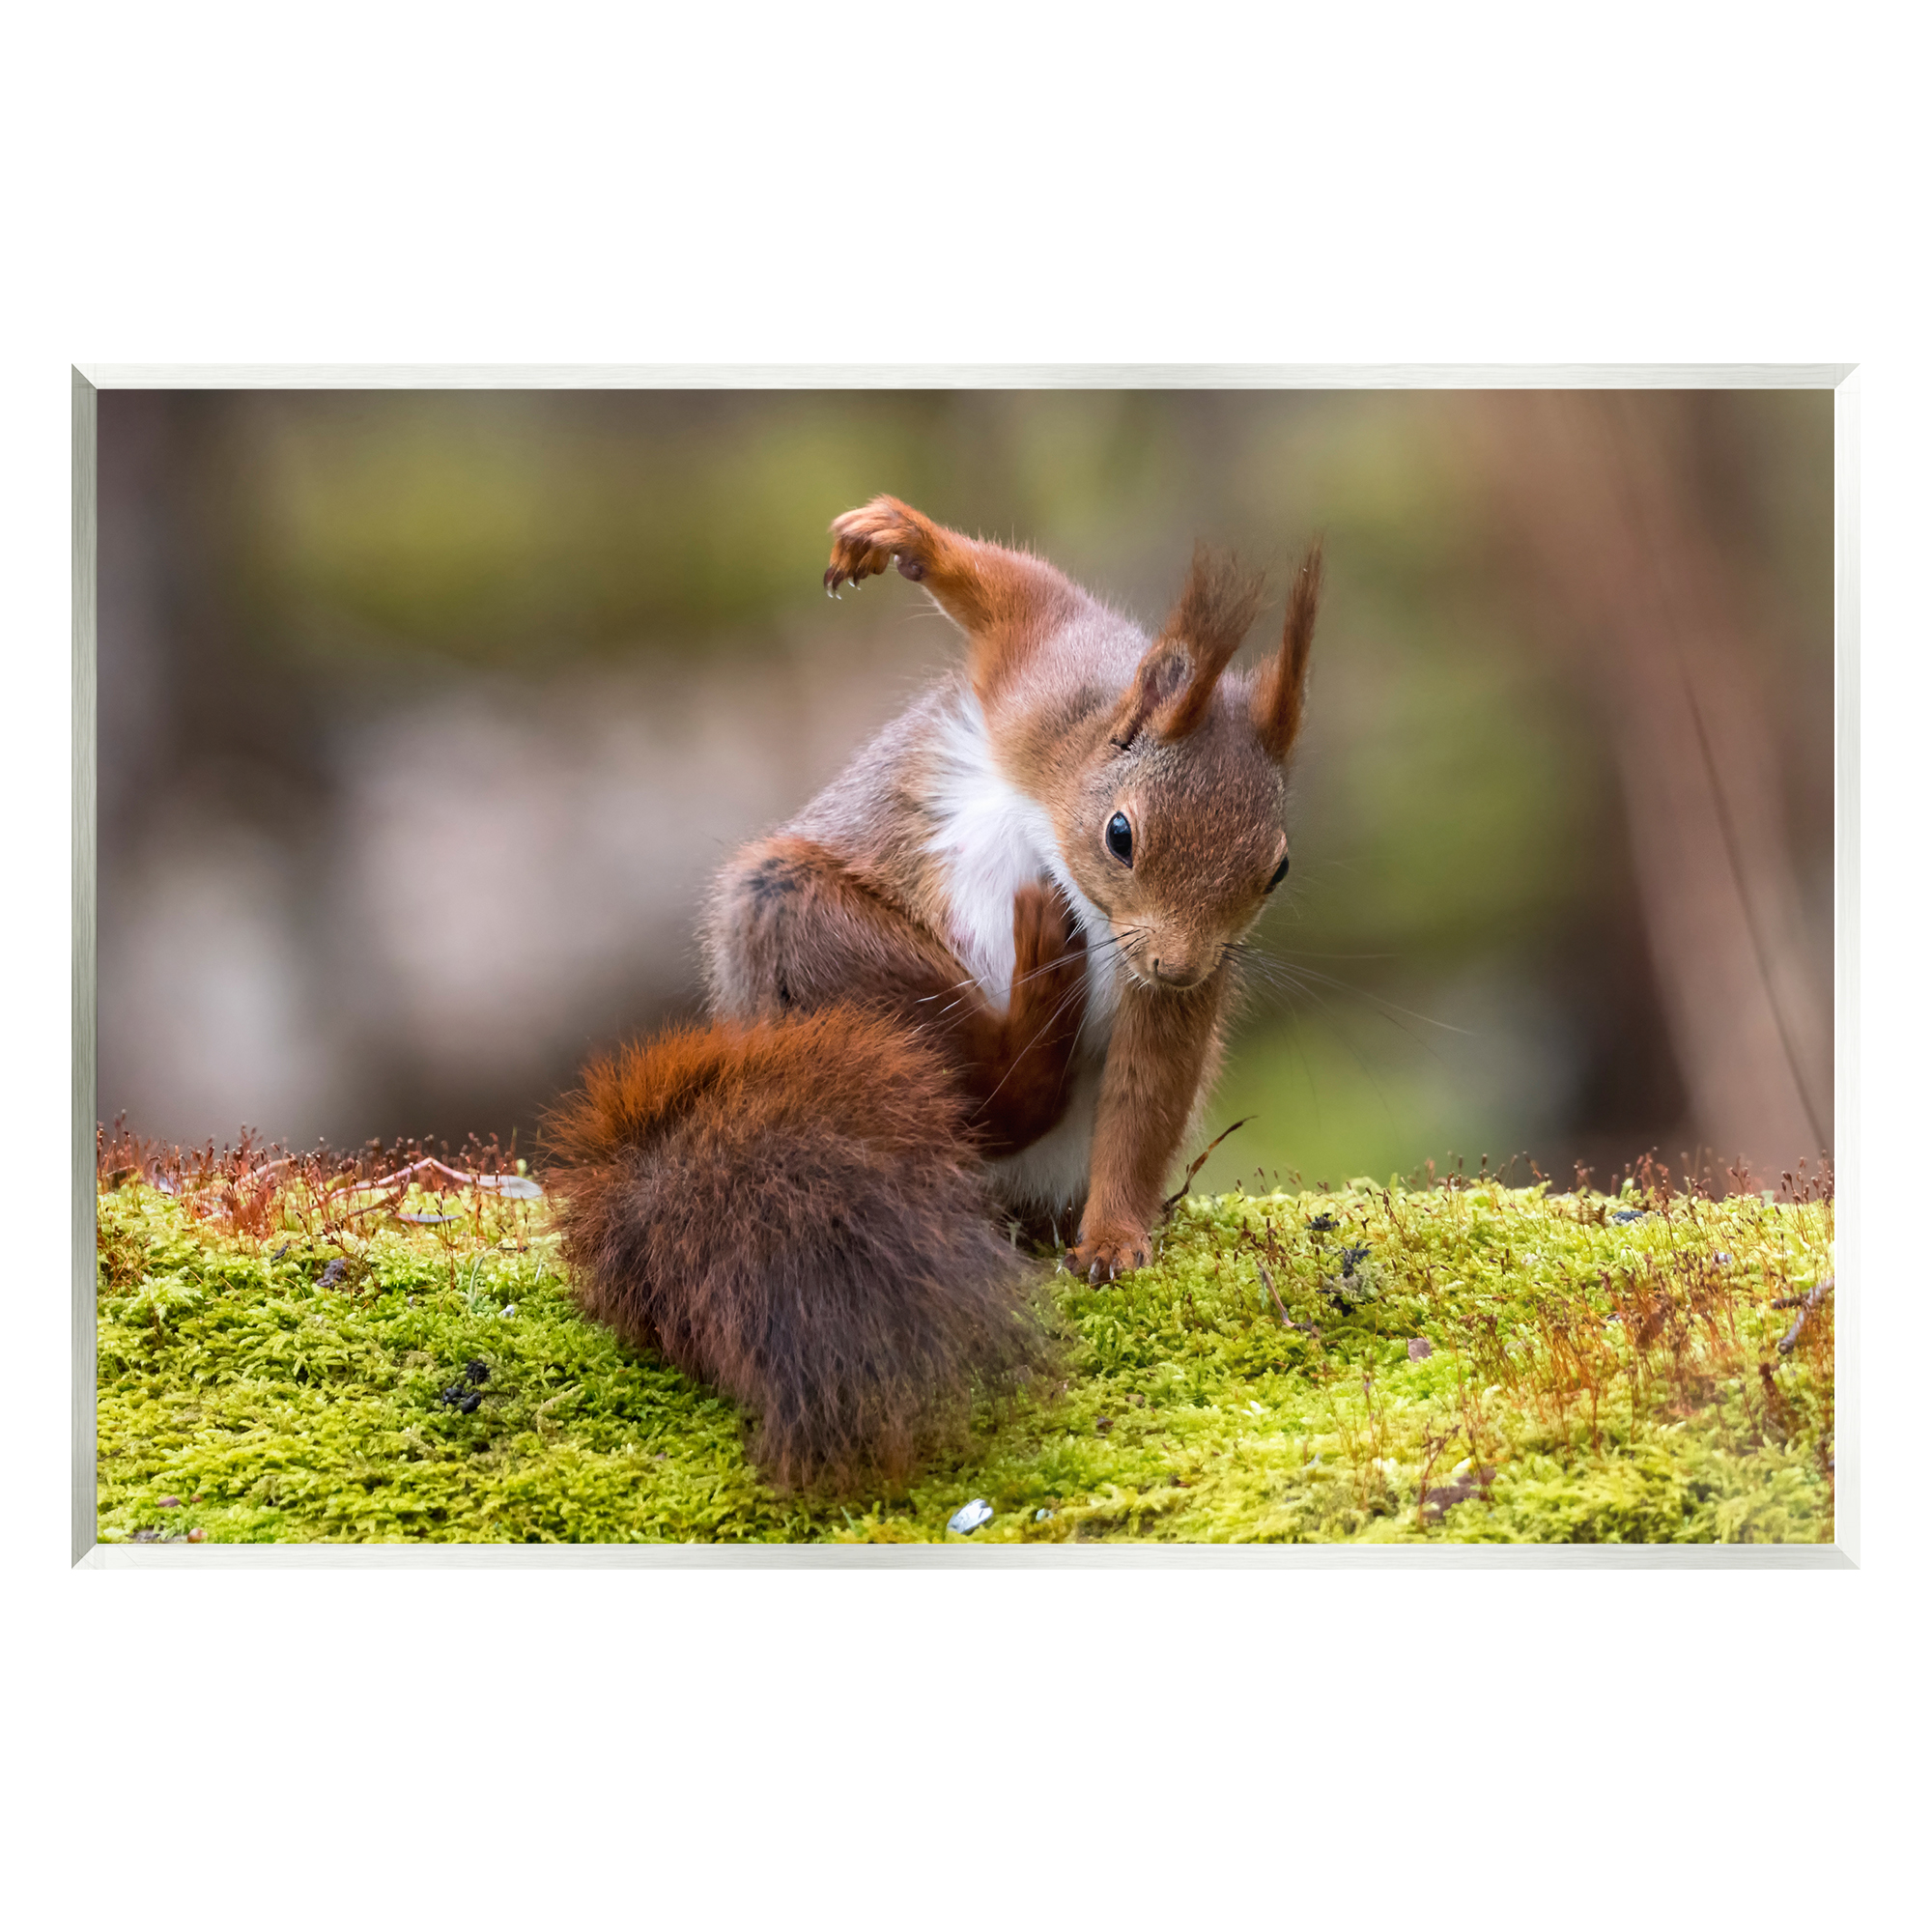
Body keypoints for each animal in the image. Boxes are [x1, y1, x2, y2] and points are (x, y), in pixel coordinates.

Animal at [543, 495, 1322, 1491]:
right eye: (1121, 835)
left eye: (1277, 869)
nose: (1180, 966)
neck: (1064, 802)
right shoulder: (1042, 677)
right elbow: (1014, 591)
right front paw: (899, 537)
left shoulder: (1167, 988)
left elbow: (1146, 1097)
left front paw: (1114, 1239)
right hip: (799, 922)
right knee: (985, 1093)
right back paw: (1035, 1000)